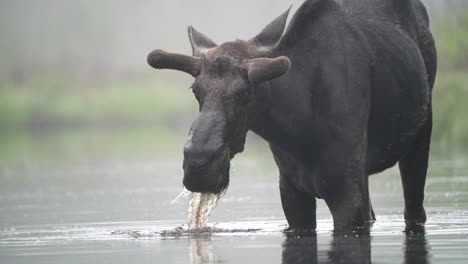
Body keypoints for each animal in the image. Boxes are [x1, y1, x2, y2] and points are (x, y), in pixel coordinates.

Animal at [146, 0, 436, 231]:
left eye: (246, 92)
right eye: (196, 90)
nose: (198, 163)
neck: (298, 126)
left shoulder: (346, 195)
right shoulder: (292, 193)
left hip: (421, 135)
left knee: (415, 208)